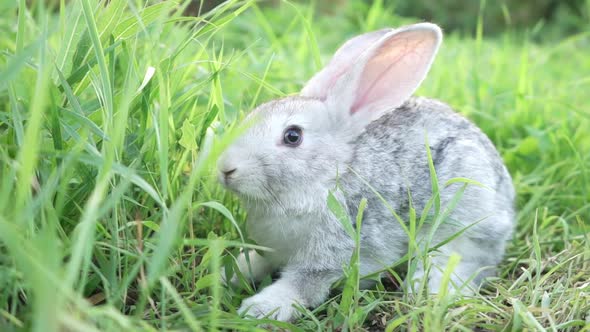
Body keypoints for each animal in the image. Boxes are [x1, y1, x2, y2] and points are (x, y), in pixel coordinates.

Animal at [219, 22, 520, 322]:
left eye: (293, 136)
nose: (225, 168)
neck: (327, 177)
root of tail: (506, 200)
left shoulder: (331, 253)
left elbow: (303, 286)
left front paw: (260, 308)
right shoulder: (271, 250)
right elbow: (252, 262)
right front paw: (223, 274)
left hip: (461, 218)